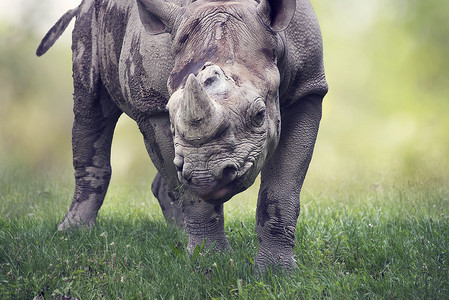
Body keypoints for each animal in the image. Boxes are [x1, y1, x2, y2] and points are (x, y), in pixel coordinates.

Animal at [37, 0, 326, 272]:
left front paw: (276, 271)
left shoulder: (309, 89)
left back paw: (177, 234)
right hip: (91, 20)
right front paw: (210, 262)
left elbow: (282, 188)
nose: (205, 176)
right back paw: (72, 233)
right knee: (91, 110)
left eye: (259, 114)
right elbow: (191, 193)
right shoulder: (152, 108)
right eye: (169, 113)